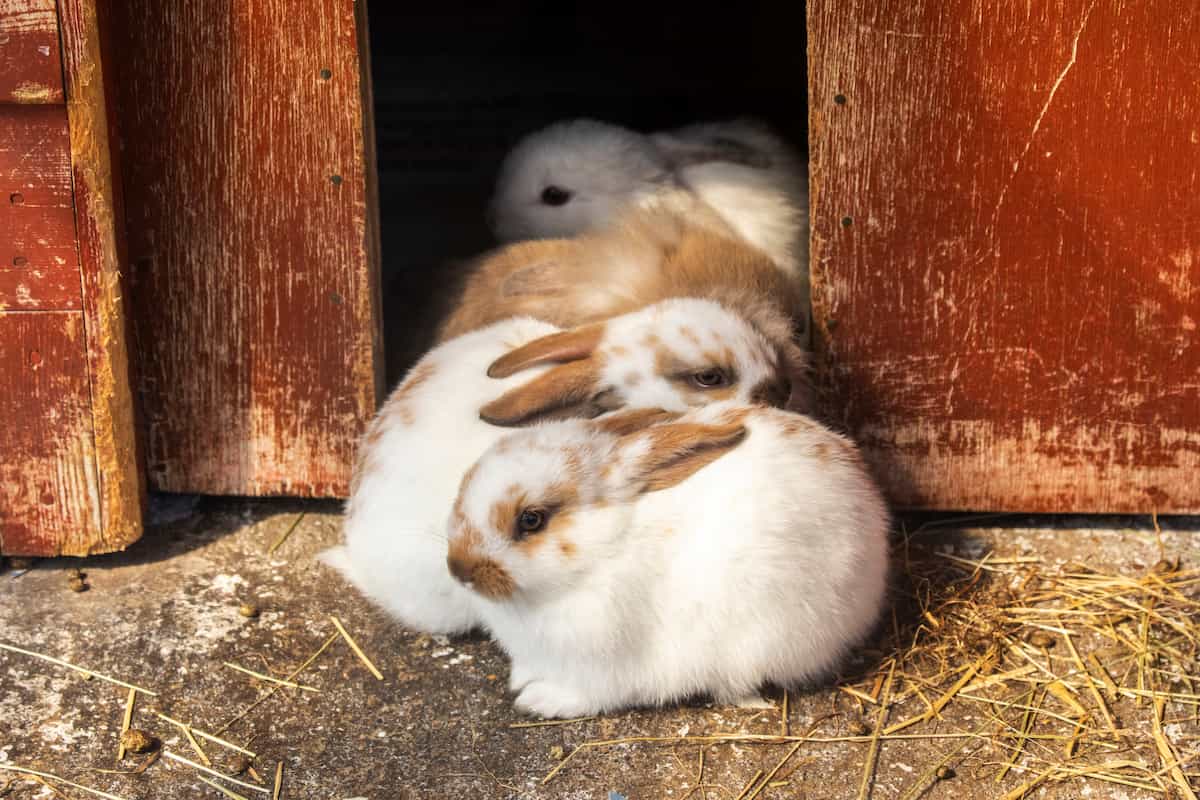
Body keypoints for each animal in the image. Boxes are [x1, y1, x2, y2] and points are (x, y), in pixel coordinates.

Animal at [445, 401, 890, 718]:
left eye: (531, 519)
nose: (458, 569)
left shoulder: (606, 665)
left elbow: (589, 694)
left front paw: (538, 700)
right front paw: (520, 679)